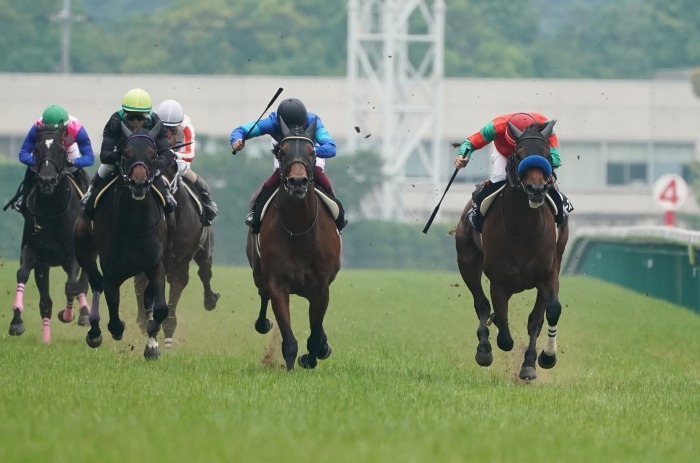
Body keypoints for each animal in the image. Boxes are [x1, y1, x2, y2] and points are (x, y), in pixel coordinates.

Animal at [9, 127, 90, 344]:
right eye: (36, 150)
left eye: (60, 150)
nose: (46, 181)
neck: (52, 210)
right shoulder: (36, 254)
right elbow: (23, 275)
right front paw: (17, 322)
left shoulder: (72, 256)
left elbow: (71, 286)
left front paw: (68, 314)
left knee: (82, 281)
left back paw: (84, 313)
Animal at [75, 122, 170, 358]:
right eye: (126, 154)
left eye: (153, 155)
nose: (138, 183)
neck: (134, 225)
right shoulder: (112, 270)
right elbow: (114, 315)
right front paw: (114, 330)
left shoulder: (155, 264)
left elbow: (160, 308)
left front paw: (152, 345)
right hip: (83, 249)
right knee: (96, 282)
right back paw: (94, 331)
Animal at [247, 118, 344, 370]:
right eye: (282, 151)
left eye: (312, 152)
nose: (298, 182)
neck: (299, 230)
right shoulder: (278, 285)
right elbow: (289, 340)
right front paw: (291, 368)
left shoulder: (321, 289)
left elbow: (315, 336)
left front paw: (315, 352)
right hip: (259, 273)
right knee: (262, 297)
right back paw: (264, 323)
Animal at [454, 121, 568, 382]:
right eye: (518, 155)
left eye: (548, 156)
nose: (536, 189)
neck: (523, 229)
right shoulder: (499, 280)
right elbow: (504, 333)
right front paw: (491, 343)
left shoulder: (548, 273)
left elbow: (547, 313)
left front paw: (541, 359)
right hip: (466, 260)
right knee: (481, 304)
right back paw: (484, 348)